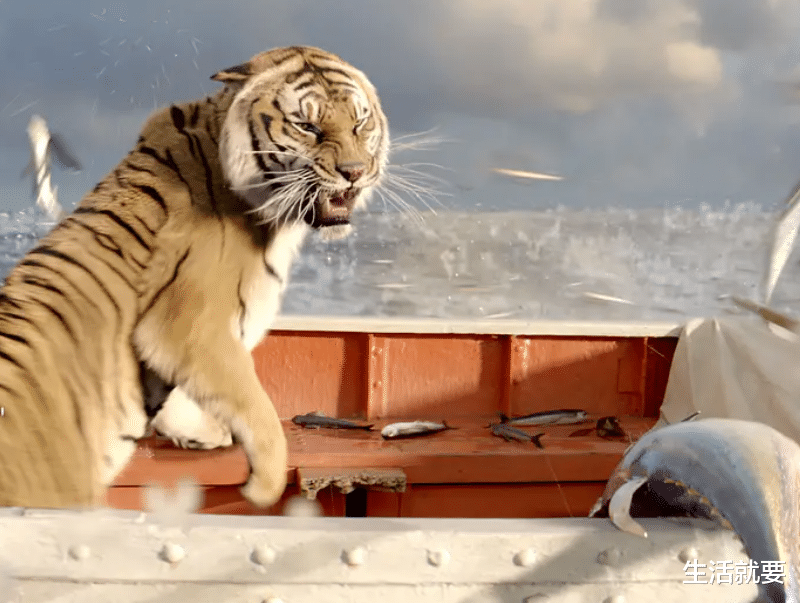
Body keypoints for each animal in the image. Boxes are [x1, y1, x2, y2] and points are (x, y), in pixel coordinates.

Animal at [0, 45, 389, 509]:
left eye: (359, 123)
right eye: (307, 126)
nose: (355, 171)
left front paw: (196, 432)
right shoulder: (187, 327)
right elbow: (253, 399)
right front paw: (266, 485)